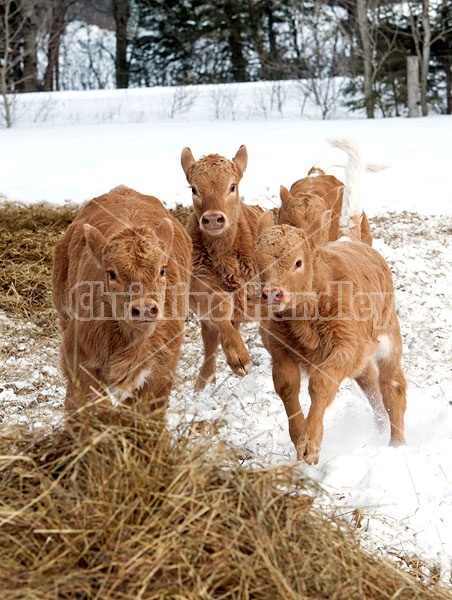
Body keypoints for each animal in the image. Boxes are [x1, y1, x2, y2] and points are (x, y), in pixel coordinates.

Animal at [182, 145, 264, 390]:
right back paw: (205, 379)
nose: (212, 218)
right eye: (194, 189)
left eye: (232, 186)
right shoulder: (197, 284)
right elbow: (219, 306)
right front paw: (239, 357)